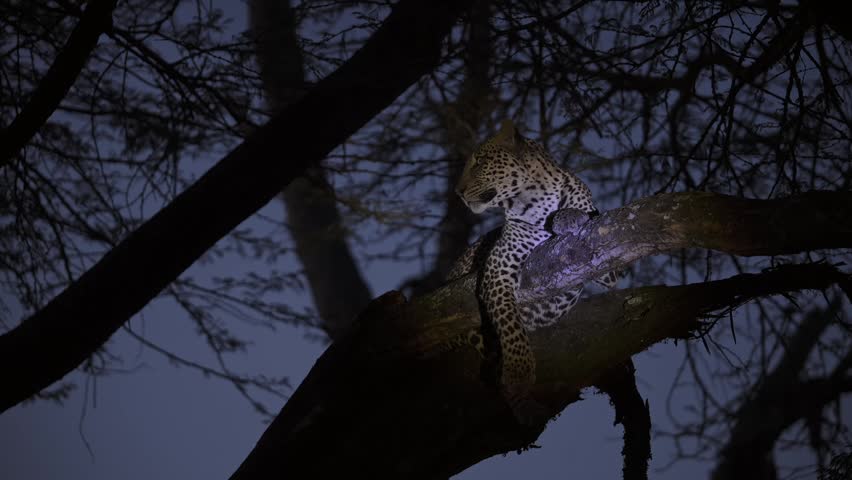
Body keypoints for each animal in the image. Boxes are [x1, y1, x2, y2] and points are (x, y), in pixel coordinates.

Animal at [447, 119, 617, 424]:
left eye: (480, 162)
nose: (457, 192)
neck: (536, 201)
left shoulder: (604, 253)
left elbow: (583, 216)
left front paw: (567, 217)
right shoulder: (497, 269)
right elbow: (511, 327)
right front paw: (518, 375)